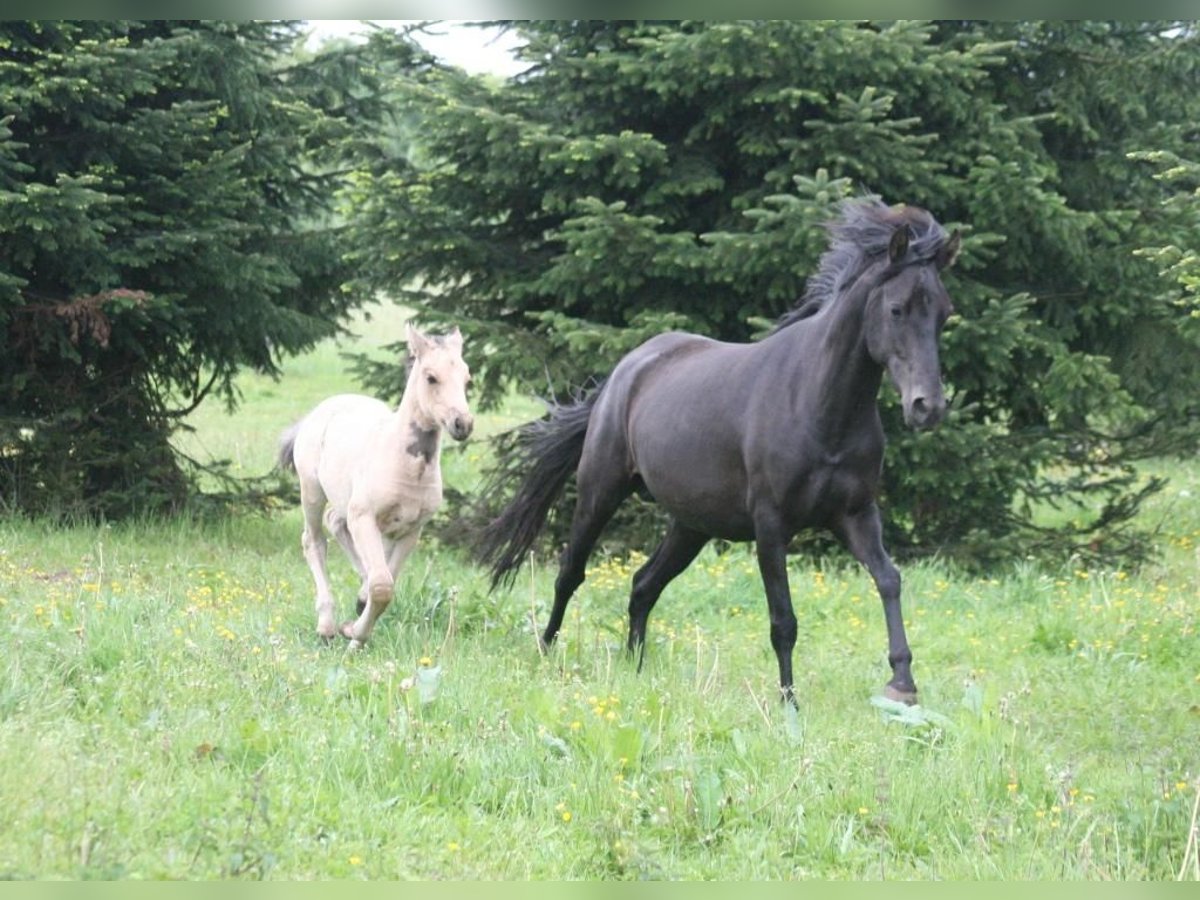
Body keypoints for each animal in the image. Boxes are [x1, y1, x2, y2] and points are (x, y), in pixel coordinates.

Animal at [278, 326, 470, 648]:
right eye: (431, 377)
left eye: (468, 378)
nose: (463, 424)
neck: (407, 468)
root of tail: (321, 409)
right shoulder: (365, 516)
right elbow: (382, 586)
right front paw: (353, 633)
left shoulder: (410, 529)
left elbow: (385, 578)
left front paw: (357, 617)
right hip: (312, 491)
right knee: (313, 541)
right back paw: (326, 626)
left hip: (347, 503)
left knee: (335, 522)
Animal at [472, 195, 960, 705]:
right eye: (897, 309)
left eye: (944, 314)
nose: (927, 407)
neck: (819, 405)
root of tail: (625, 370)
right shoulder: (771, 526)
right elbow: (784, 621)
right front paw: (789, 701)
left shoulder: (856, 514)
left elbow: (889, 580)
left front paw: (902, 684)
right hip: (600, 493)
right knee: (571, 572)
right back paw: (546, 651)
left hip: (691, 525)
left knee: (643, 585)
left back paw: (634, 667)